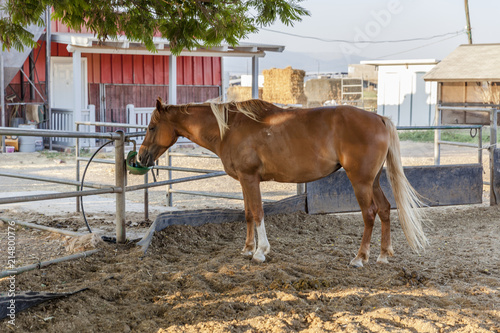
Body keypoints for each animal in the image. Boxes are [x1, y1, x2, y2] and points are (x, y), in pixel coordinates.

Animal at [139, 97, 428, 266]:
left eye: (152, 127)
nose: (141, 157)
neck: (231, 128)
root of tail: (379, 118)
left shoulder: (250, 179)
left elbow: (258, 213)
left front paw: (260, 251)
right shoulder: (244, 181)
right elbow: (247, 214)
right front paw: (247, 248)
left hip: (360, 181)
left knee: (369, 214)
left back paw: (360, 257)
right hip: (373, 181)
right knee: (385, 210)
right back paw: (383, 254)